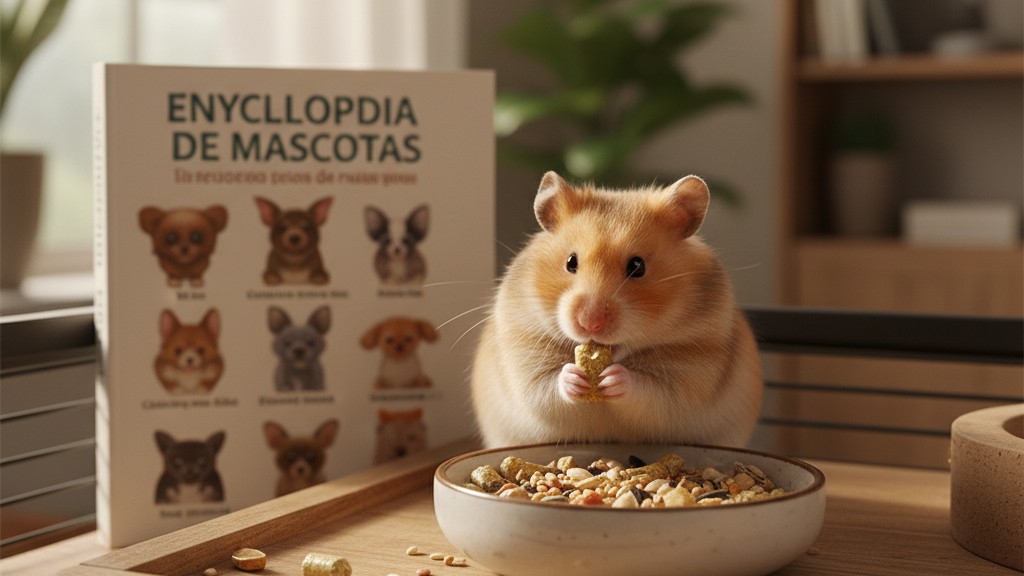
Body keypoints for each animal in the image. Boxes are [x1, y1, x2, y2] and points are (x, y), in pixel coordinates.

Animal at [470, 172, 762, 448]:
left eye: (637, 267)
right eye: (571, 262)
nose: (590, 323)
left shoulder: (693, 366)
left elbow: (651, 391)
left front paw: (614, 377)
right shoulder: (523, 351)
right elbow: (545, 386)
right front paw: (574, 377)